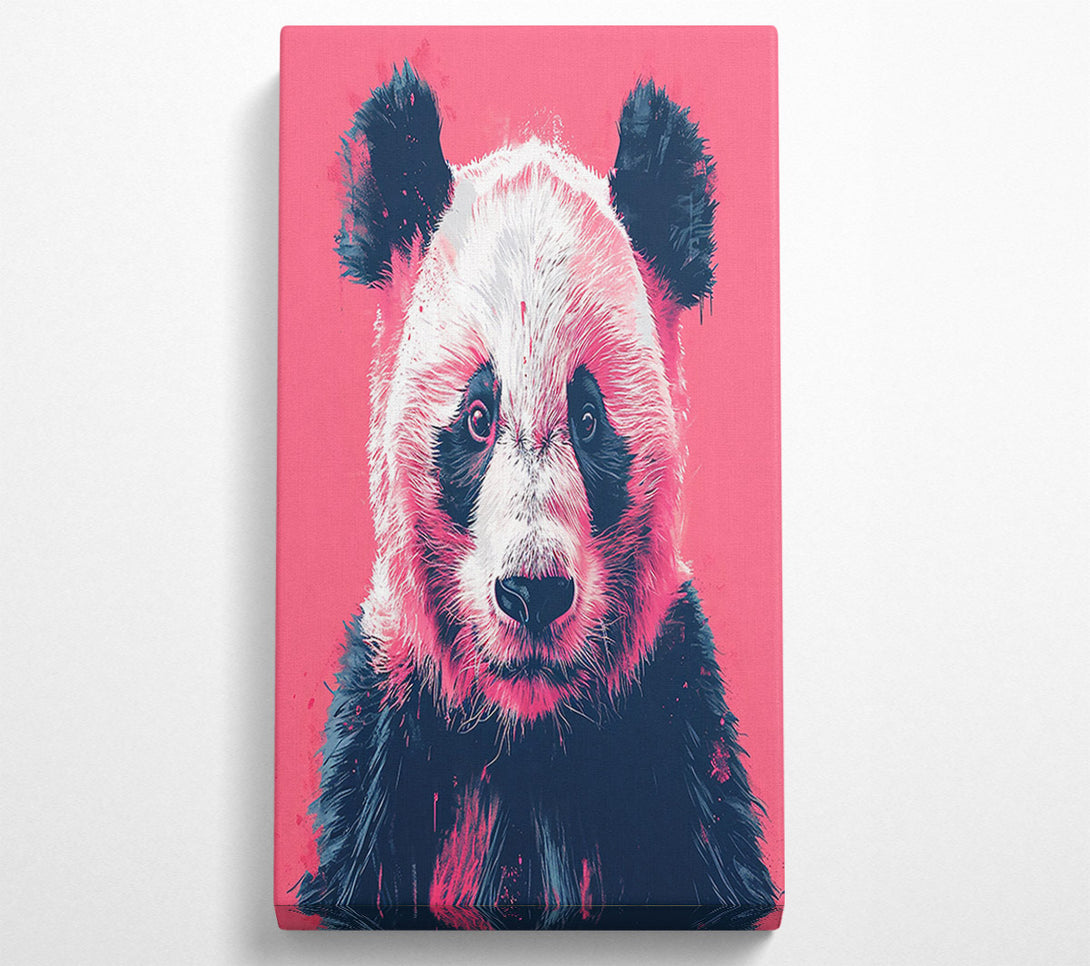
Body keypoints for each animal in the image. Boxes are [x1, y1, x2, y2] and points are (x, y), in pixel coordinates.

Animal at [295, 63, 778, 930]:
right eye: (477, 418)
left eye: (588, 420)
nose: (532, 594)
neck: (527, 734)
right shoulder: (390, 747)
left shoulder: (671, 735)